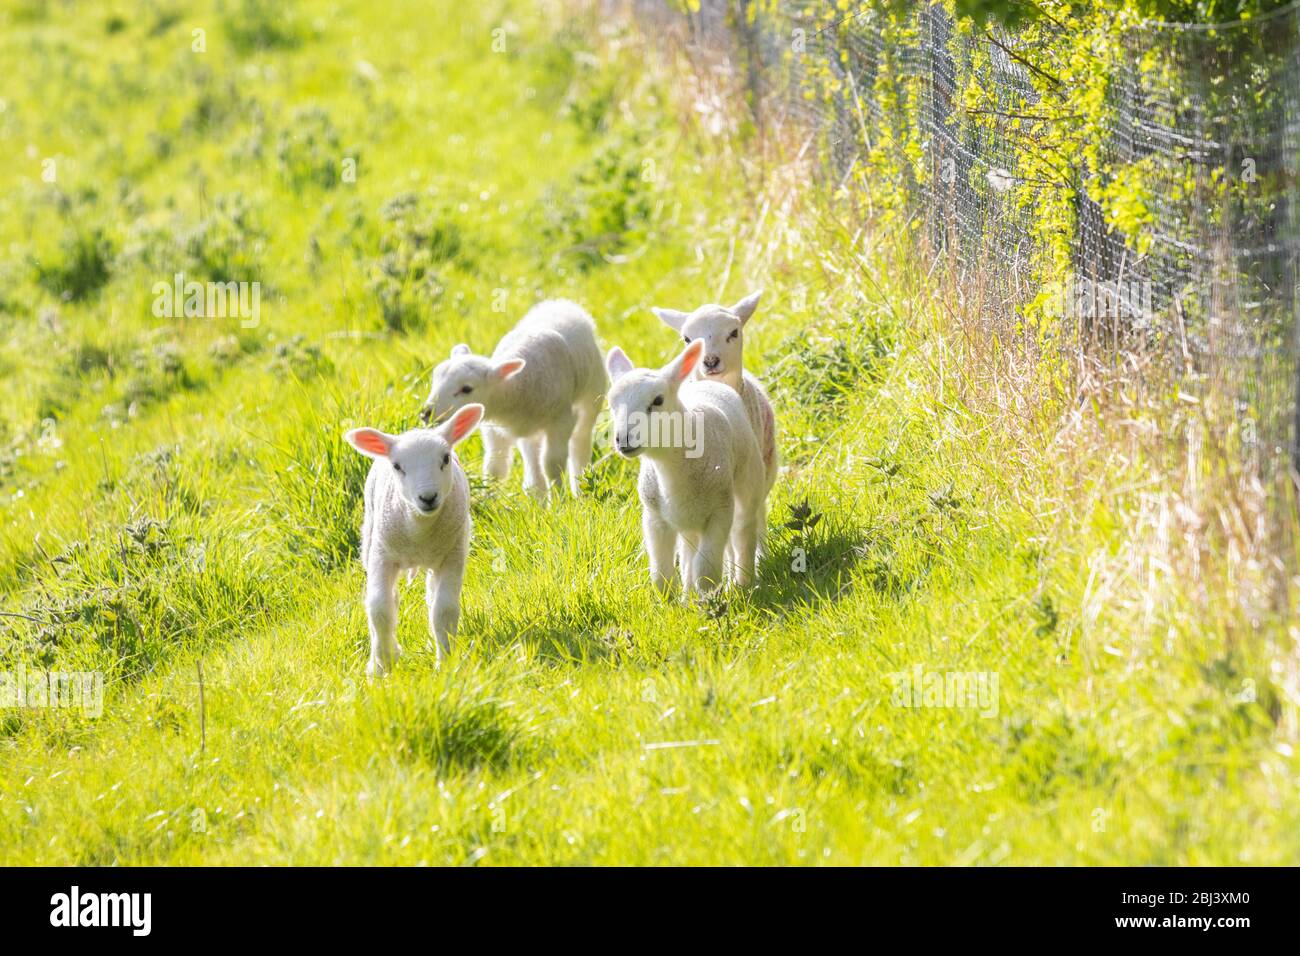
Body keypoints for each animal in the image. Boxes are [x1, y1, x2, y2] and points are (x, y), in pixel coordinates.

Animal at [343, 403, 486, 681]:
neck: (419, 531)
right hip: (372, 537)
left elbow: (444, 610)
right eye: (398, 466)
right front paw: (383, 664)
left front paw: (446, 663)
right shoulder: (382, 555)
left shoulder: (453, 554)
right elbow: (379, 609)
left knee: (431, 597)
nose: (428, 497)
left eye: (445, 458)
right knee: (390, 600)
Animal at [423, 299, 611, 502]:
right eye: (435, 378)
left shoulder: (561, 419)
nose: (427, 413)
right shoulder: (492, 428)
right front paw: (489, 499)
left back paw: (579, 487)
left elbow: (552, 463)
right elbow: (495, 466)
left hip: (591, 395)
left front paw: (559, 500)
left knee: (580, 441)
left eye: (467, 389)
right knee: (533, 459)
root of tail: (561, 303)